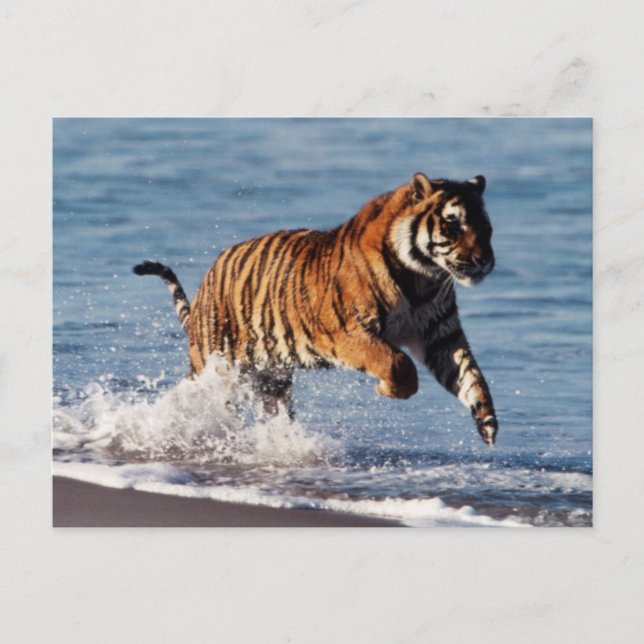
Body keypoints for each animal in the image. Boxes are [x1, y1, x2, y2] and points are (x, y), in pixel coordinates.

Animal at [133, 172, 498, 445]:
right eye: (454, 225)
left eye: (487, 228)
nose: (485, 262)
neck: (423, 278)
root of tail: (206, 283)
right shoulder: (349, 332)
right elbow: (397, 363)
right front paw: (388, 389)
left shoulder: (441, 335)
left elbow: (471, 375)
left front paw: (487, 422)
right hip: (217, 368)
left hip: (272, 380)